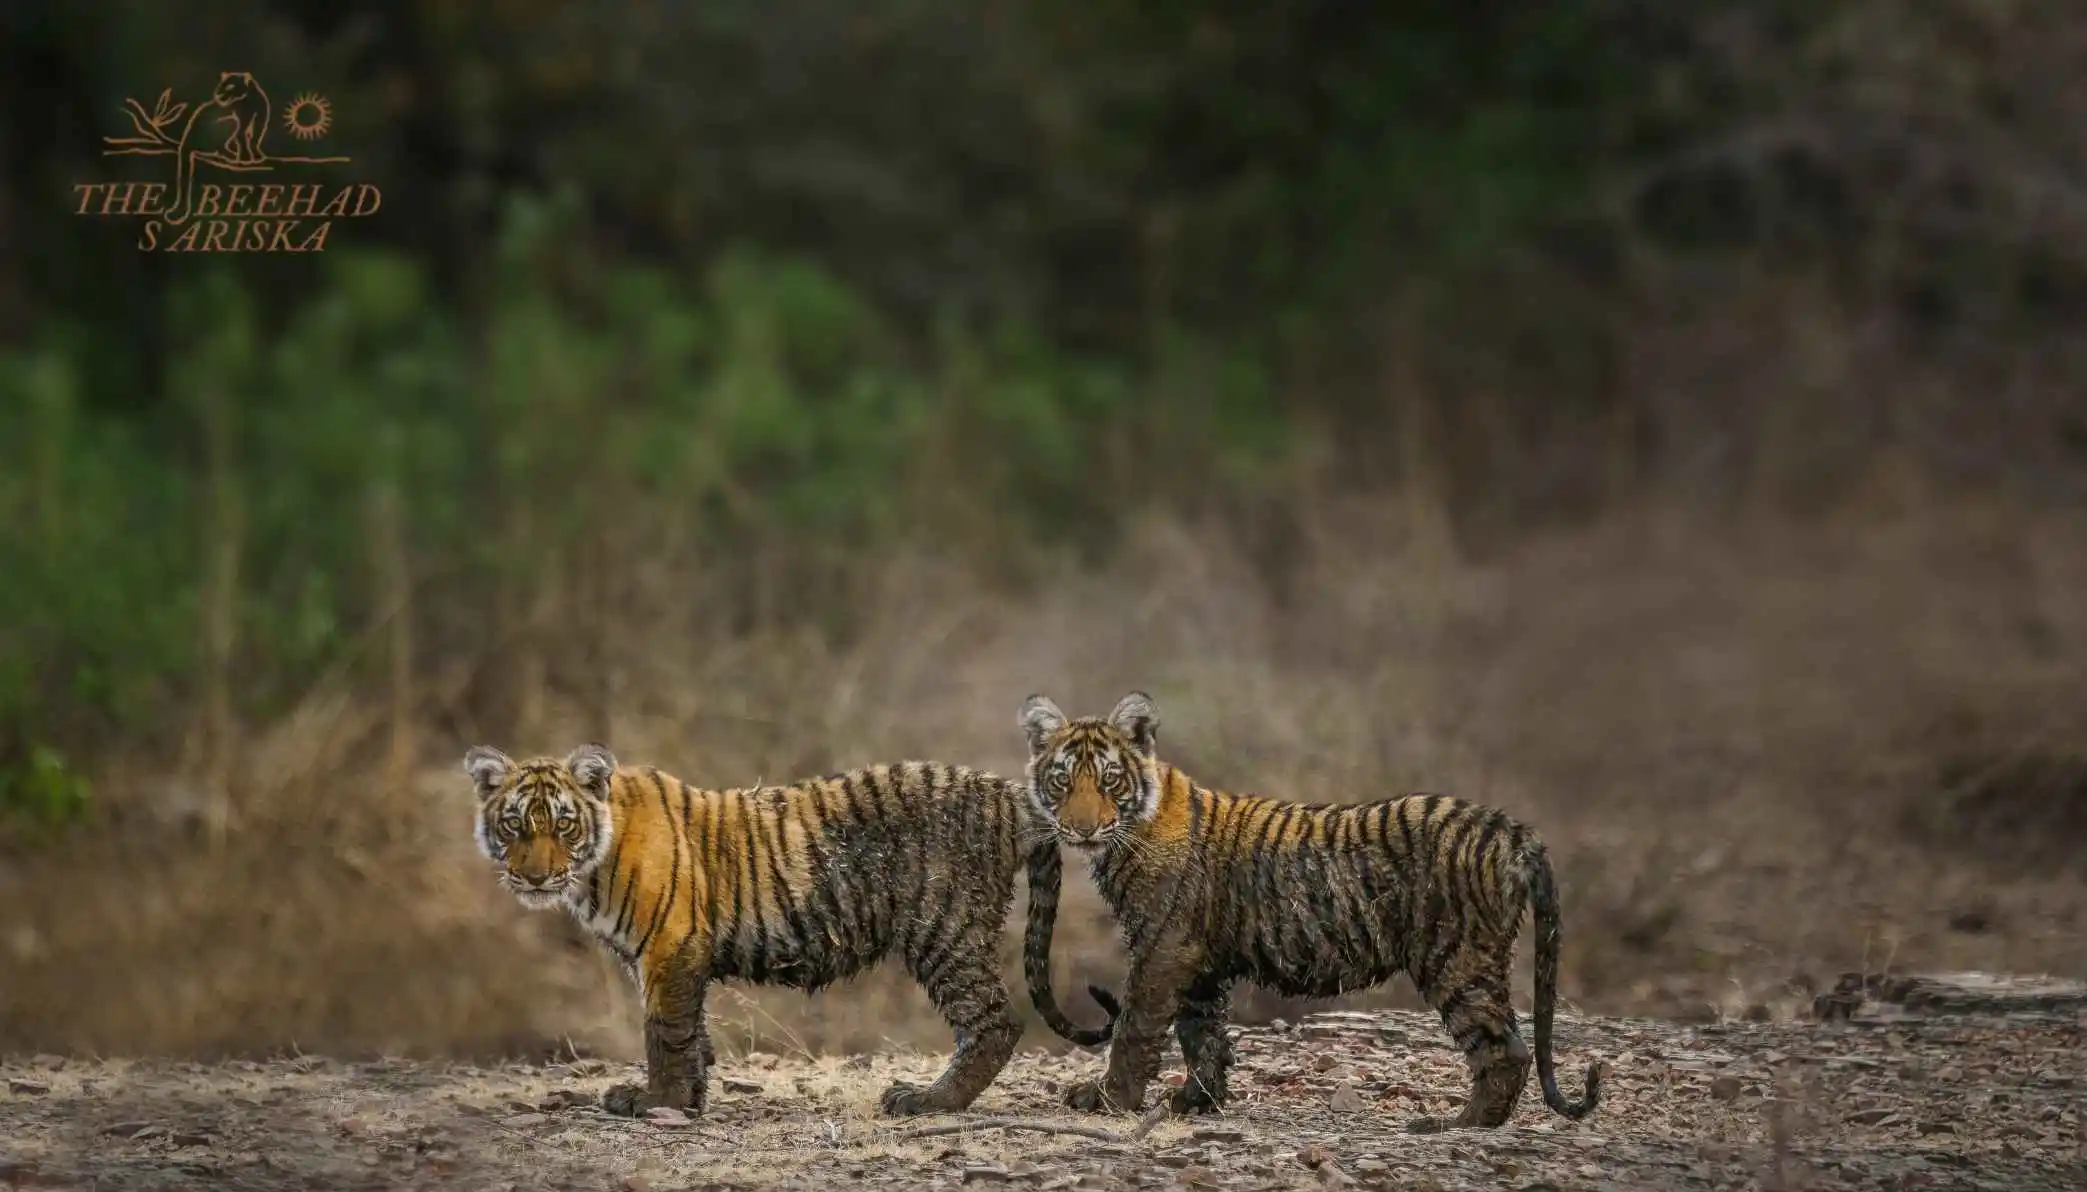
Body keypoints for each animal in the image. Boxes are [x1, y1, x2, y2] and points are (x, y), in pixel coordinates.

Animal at [462, 742, 1100, 1118]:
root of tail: (1011, 795)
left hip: (945, 928)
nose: (534, 876)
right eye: (514, 824)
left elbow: (664, 1031)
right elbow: (691, 1030)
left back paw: (927, 1100)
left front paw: (658, 1102)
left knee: (994, 1020)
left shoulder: (671, 943)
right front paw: (691, 1097)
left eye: (563, 825)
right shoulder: (675, 956)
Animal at [1017, 692, 1603, 1132]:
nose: (1083, 828)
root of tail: (1511, 829)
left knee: (1505, 1047)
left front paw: (1109, 1100)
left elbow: (1136, 1025)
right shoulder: (1197, 958)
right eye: (1063, 780)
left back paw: (1456, 1124)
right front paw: (1195, 1103)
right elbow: (1201, 1033)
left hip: (1457, 957)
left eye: (1109, 779)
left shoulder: (1164, 946)